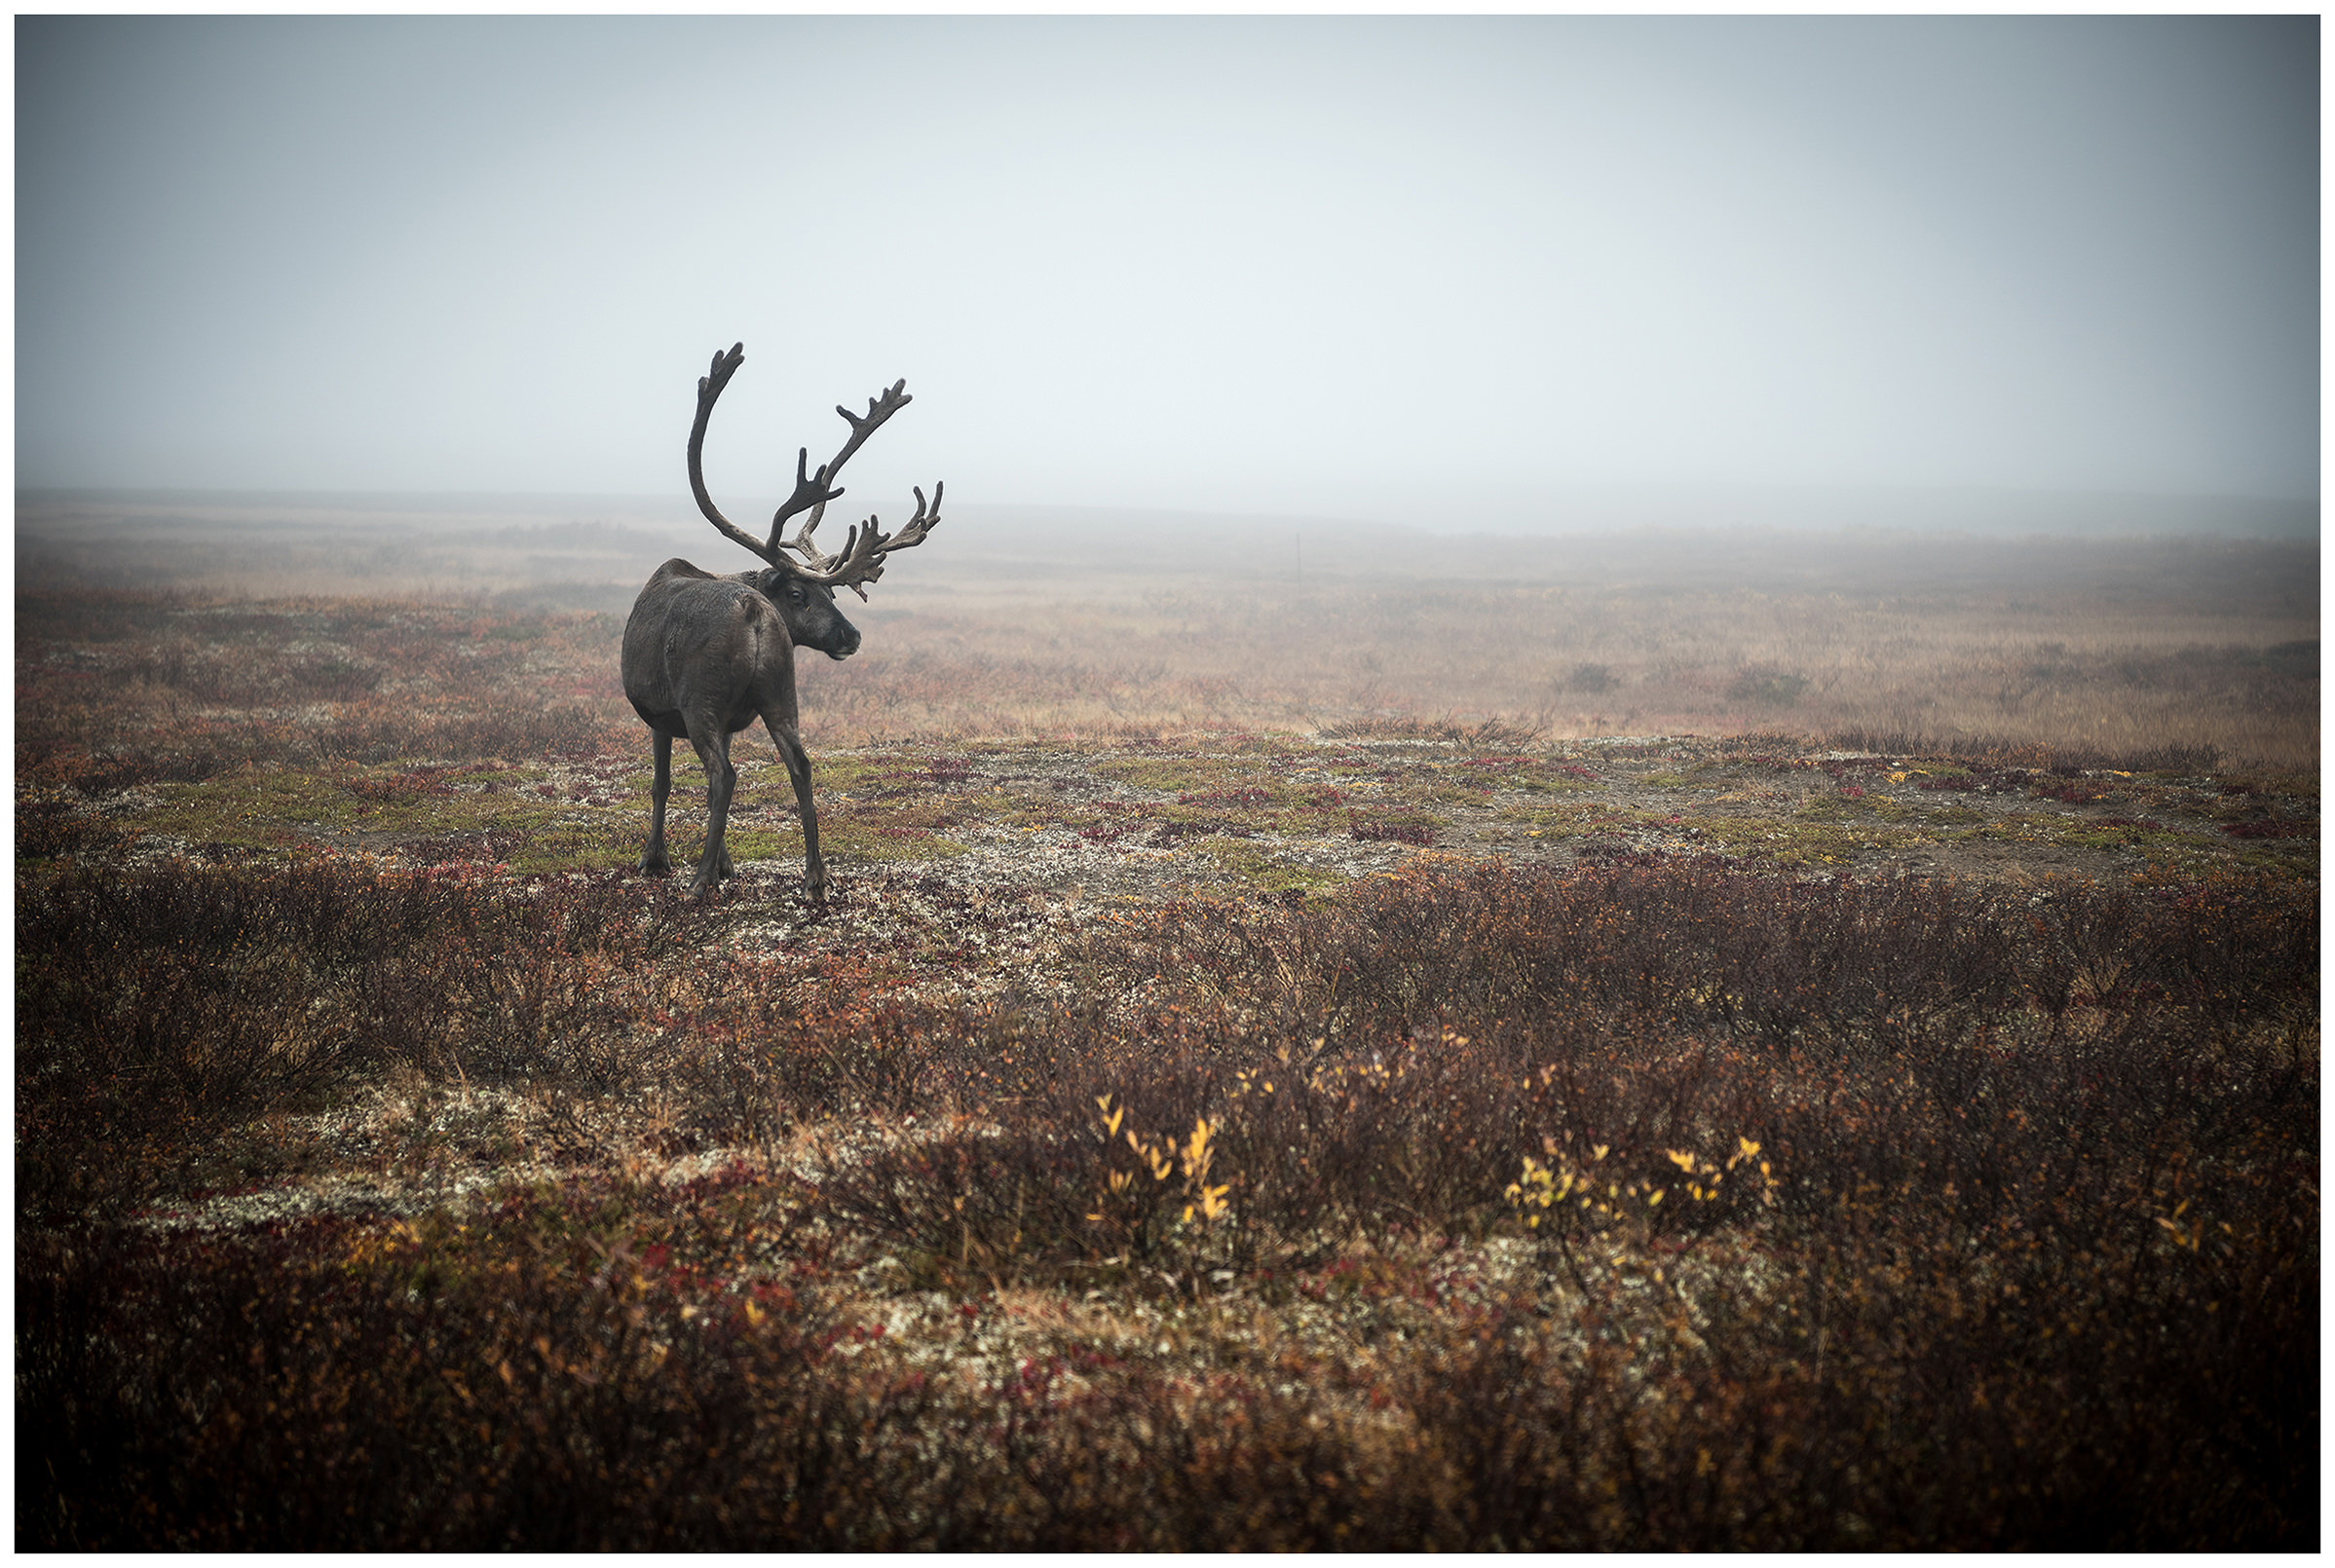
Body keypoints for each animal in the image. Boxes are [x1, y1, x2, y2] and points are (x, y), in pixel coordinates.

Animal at [620, 342, 943, 902]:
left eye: (829, 590)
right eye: (801, 593)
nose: (852, 635)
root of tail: (753, 612)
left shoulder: (661, 715)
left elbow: (661, 784)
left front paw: (657, 859)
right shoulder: (728, 718)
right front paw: (725, 863)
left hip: (700, 702)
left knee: (723, 777)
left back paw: (698, 883)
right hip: (780, 695)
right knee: (802, 766)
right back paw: (816, 876)